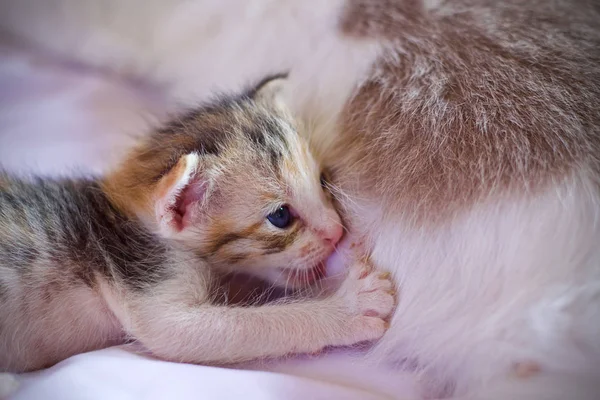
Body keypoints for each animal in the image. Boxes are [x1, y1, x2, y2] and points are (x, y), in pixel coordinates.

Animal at [0, 76, 394, 374]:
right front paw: (348, 306)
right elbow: (222, 329)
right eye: (280, 216)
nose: (337, 231)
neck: (127, 215)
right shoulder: (146, 279)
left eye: (323, 181)